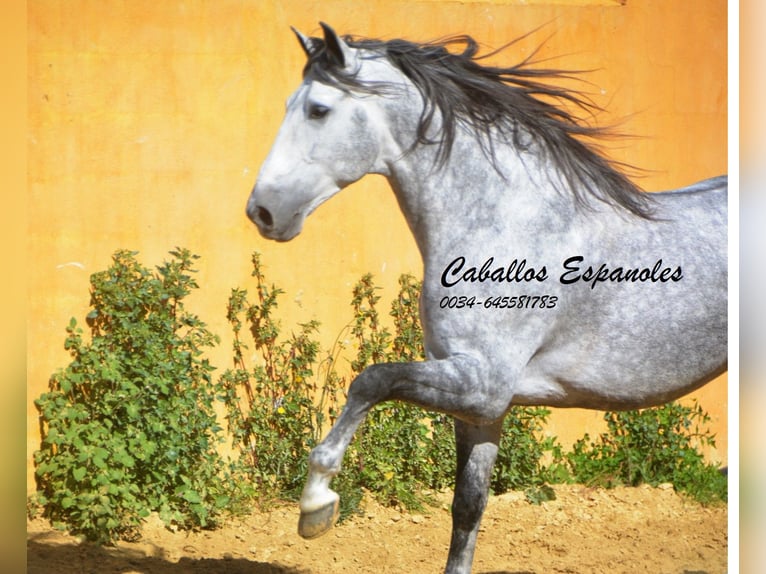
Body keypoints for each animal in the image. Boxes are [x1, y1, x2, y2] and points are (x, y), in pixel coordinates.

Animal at [246, 23, 728, 574]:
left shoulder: (484, 385)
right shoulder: (480, 406)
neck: (507, 222)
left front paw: (316, 505)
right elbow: (468, 507)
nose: (262, 212)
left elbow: (371, 381)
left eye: (318, 110)